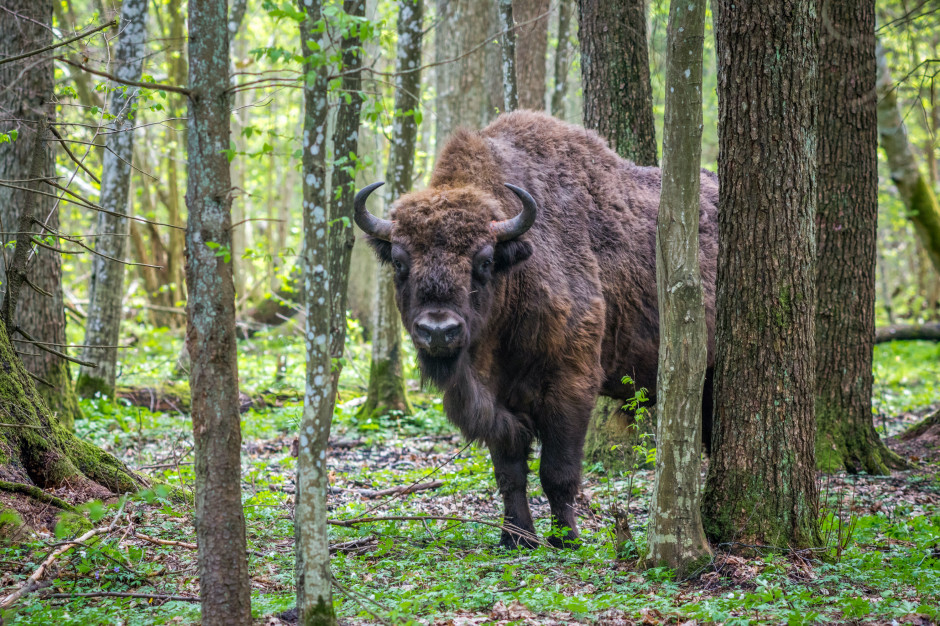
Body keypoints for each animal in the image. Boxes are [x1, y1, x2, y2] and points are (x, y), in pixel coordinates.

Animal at [356, 109, 716, 544]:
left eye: (484, 261)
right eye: (399, 262)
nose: (438, 331)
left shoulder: (571, 387)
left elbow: (557, 472)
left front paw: (566, 538)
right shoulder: (499, 402)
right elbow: (510, 473)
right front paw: (516, 537)